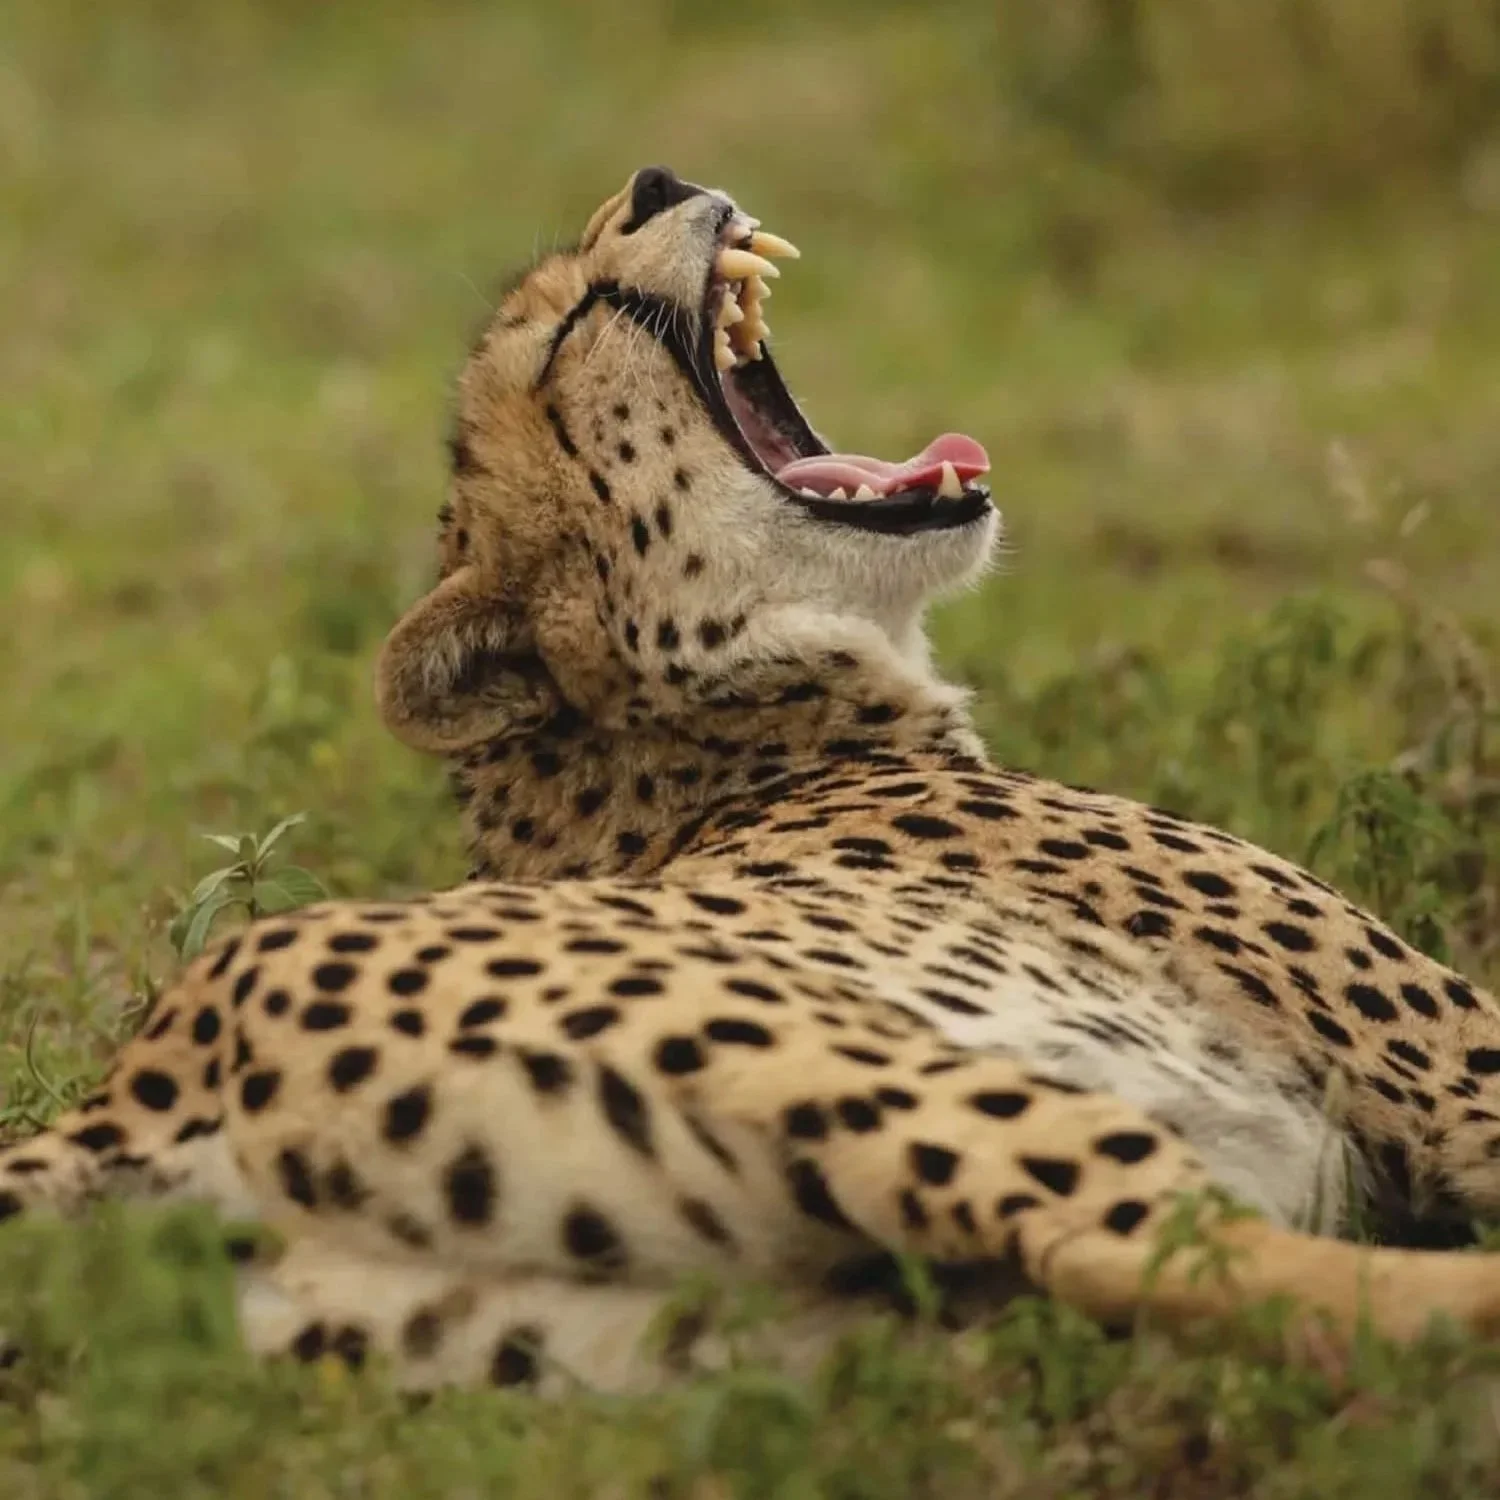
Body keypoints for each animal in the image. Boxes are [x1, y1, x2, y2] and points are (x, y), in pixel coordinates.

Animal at [6, 165, 1500, 1396]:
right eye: (572, 328)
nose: (659, 179)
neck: (734, 734)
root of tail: (135, 1081)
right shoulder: (1441, 1067)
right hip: (877, 1066)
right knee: (1194, 1253)